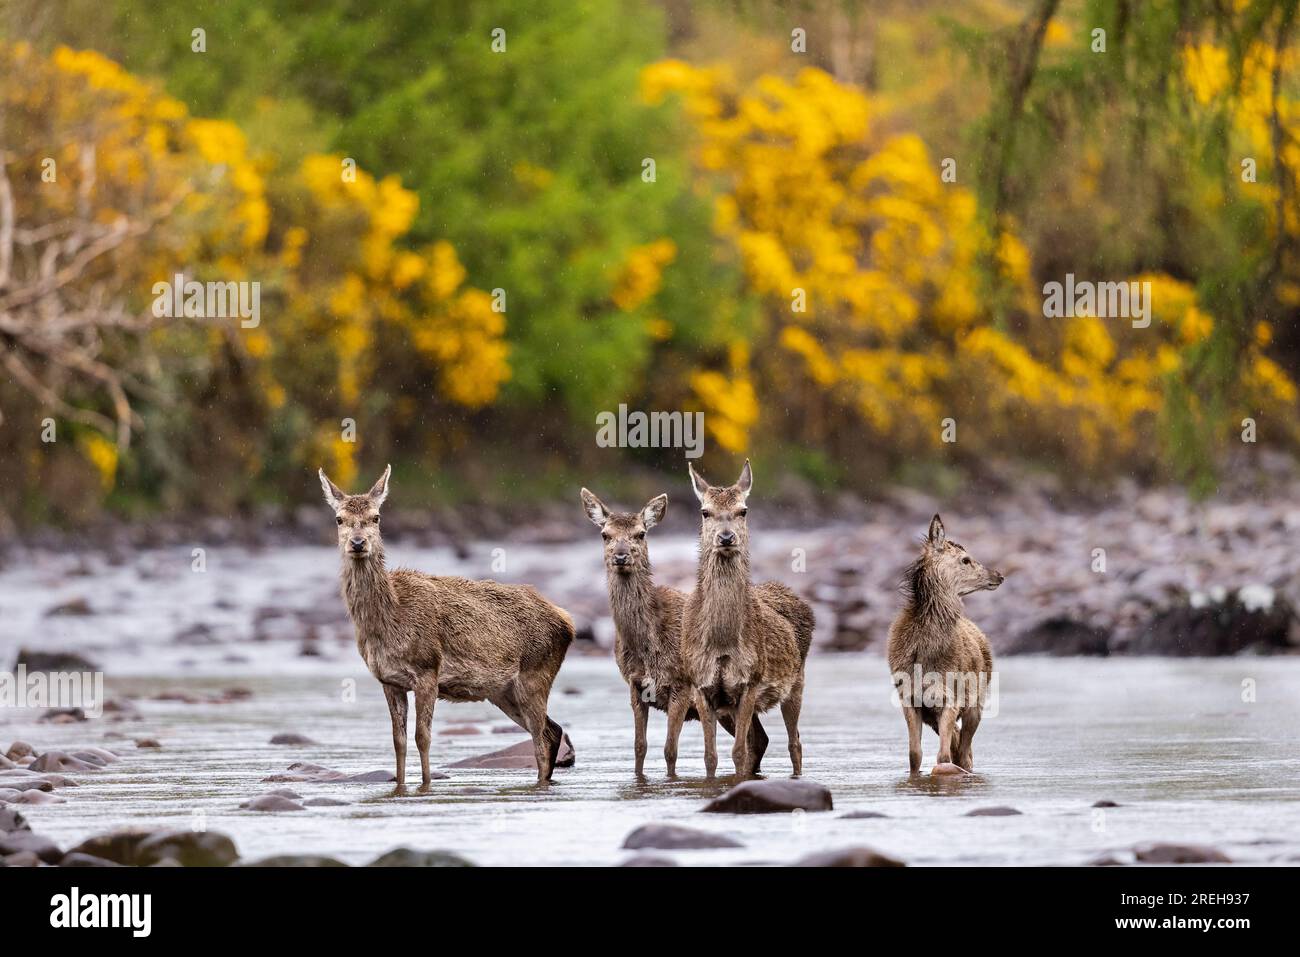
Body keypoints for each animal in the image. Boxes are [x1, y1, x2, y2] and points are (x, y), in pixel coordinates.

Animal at [318, 462, 574, 785]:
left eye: (376, 517)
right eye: (339, 518)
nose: (358, 543)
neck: (390, 621)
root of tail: (567, 622)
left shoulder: (428, 669)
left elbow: (422, 737)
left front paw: (426, 785)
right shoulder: (389, 681)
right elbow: (398, 741)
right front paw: (400, 784)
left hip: (535, 674)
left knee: (540, 742)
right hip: (503, 692)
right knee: (553, 731)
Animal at [582, 486, 769, 780]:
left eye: (641, 533)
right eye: (605, 535)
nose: (621, 556)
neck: (648, 646)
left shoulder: (681, 686)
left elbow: (670, 750)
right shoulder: (635, 686)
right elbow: (639, 748)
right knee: (759, 739)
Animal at [681, 457, 811, 780]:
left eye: (744, 510)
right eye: (705, 511)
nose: (726, 537)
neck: (721, 641)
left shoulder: (749, 683)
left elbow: (738, 752)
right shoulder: (702, 687)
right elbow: (710, 756)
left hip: (797, 682)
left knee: (794, 742)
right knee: (762, 739)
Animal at [883, 512, 1003, 774]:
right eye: (965, 559)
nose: (999, 575)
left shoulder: (951, 699)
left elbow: (943, 757)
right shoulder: (910, 699)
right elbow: (914, 755)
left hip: (976, 703)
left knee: (965, 754)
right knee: (960, 747)